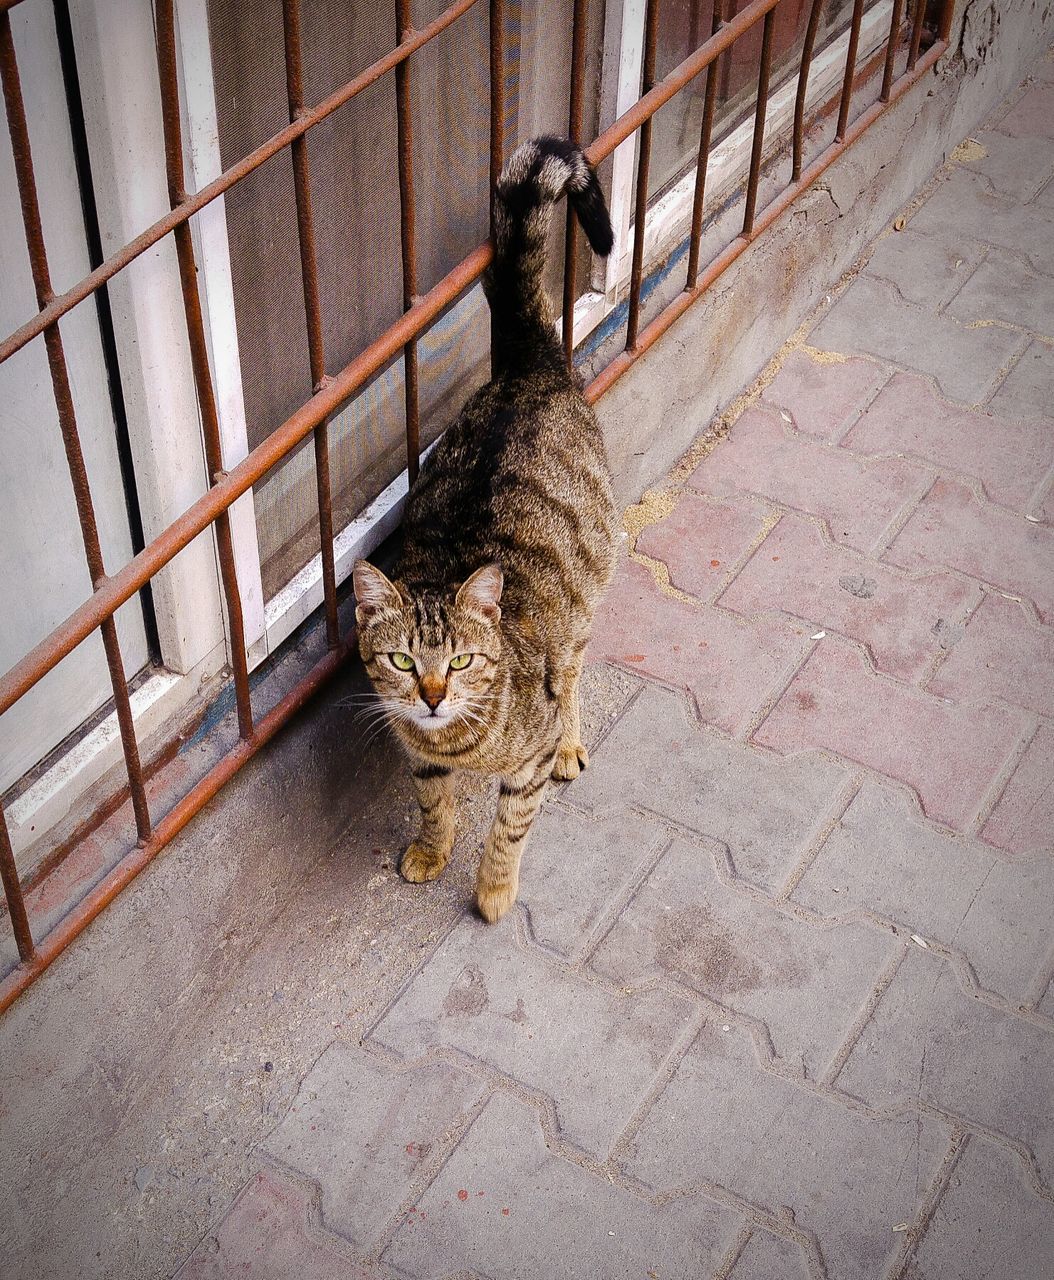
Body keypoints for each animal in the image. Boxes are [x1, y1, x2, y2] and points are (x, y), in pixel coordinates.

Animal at [353, 135, 617, 926]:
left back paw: (572, 741)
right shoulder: (419, 756)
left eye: (463, 662)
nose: (434, 695)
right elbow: (433, 805)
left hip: (585, 599)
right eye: (403, 661)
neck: (458, 742)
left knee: (574, 668)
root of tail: (530, 364)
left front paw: (495, 889)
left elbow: (509, 828)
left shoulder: (522, 766)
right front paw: (431, 849)